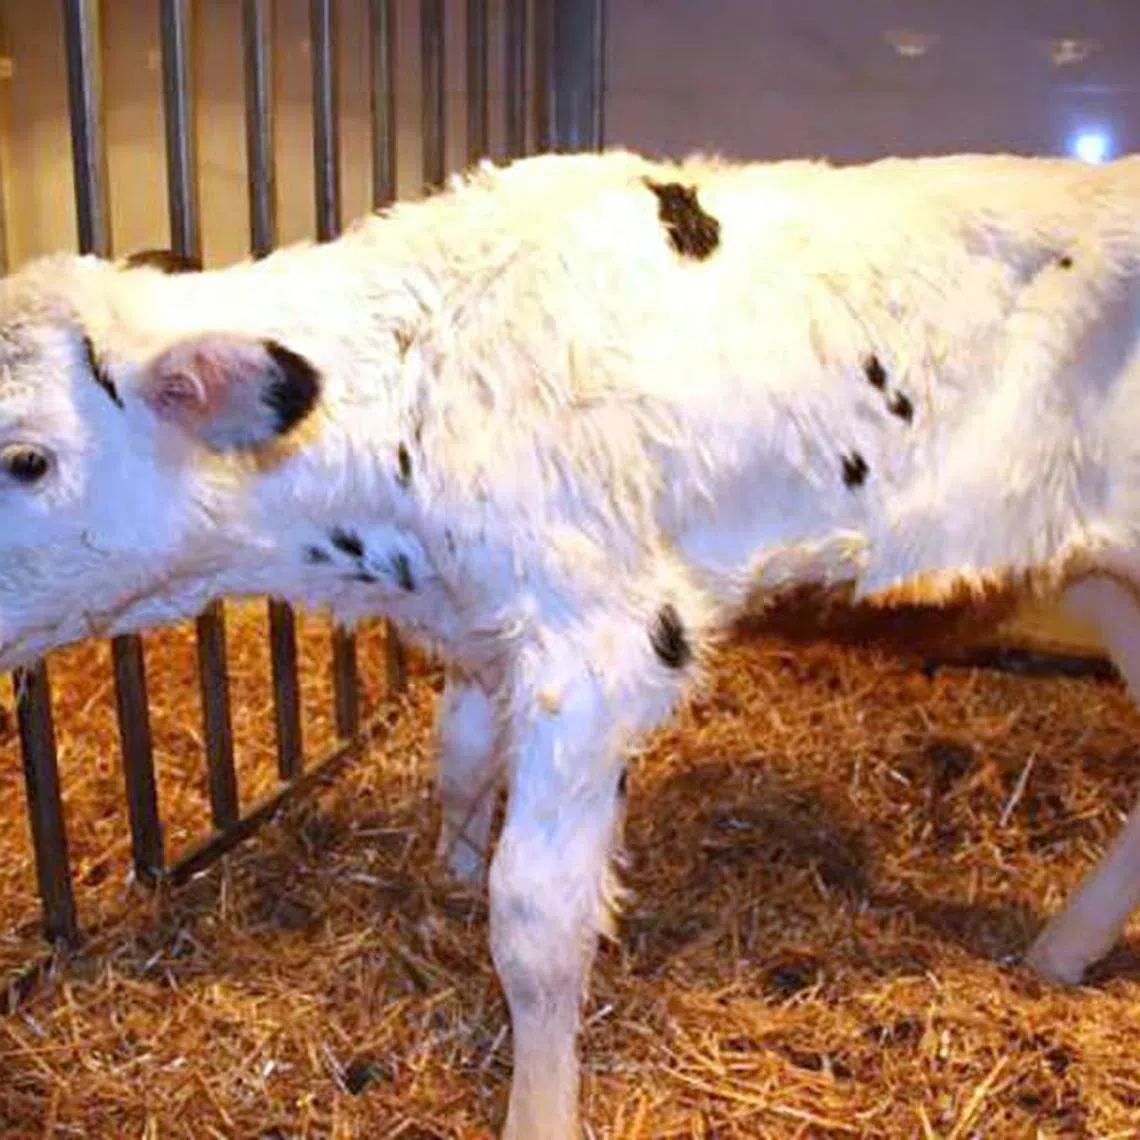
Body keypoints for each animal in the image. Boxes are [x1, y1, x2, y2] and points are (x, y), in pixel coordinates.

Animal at [2, 148, 1140, 1138]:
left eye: (25, 459)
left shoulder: (606, 641)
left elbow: (538, 919)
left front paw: (538, 1110)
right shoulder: (480, 620)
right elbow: (461, 760)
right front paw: (449, 879)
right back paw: (1062, 951)